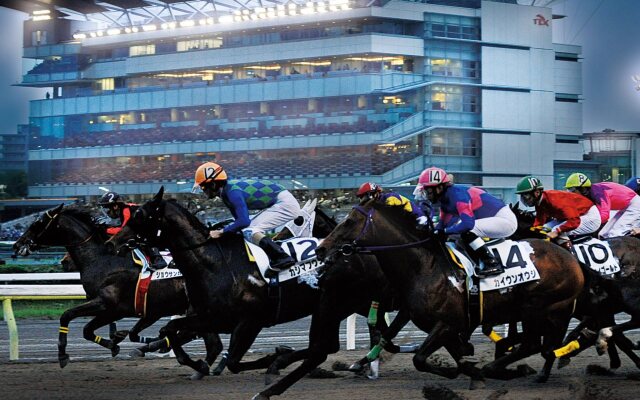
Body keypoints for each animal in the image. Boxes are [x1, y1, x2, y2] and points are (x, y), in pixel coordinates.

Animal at [11, 205, 222, 376]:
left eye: (38, 223)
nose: (18, 244)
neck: (101, 259)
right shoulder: (117, 310)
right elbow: (88, 330)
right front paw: (114, 343)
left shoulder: (108, 305)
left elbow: (67, 315)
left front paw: (63, 354)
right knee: (207, 341)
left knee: (208, 342)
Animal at [316, 198, 584, 386]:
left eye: (349, 221)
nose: (321, 249)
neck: (424, 266)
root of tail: (570, 259)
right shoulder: (440, 324)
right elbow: (452, 356)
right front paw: (470, 368)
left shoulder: (447, 323)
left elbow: (419, 358)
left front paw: (465, 369)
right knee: (536, 344)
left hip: (538, 308)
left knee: (534, 344)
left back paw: (505, 368)